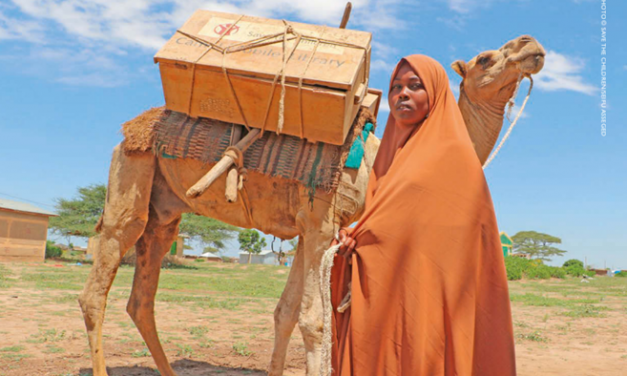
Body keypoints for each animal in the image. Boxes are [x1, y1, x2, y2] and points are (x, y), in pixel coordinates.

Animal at [79, 35, 544, 376]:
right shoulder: (322, 225)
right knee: (96, 288)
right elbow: (314, 322)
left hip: (164, 215)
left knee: (141, 299)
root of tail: (129, 130)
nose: (531, 45)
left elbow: (285, 313)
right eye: (485, 58)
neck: (381, 163)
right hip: (131, 181)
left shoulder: (309, 230)